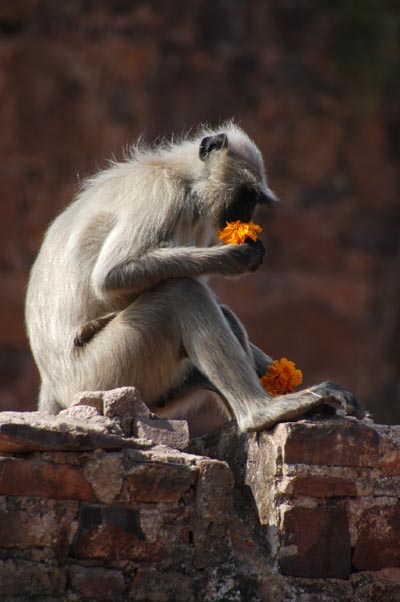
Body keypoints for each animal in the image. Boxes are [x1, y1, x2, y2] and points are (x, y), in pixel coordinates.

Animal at [24, 120, 362, 426]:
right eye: (247, 196)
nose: (247, 215)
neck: (182, 177)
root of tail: (52, 386)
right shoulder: (160, 192)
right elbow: (110, 277)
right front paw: (236, 257)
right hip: (101, 373)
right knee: (181, 292)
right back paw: (261, 413)